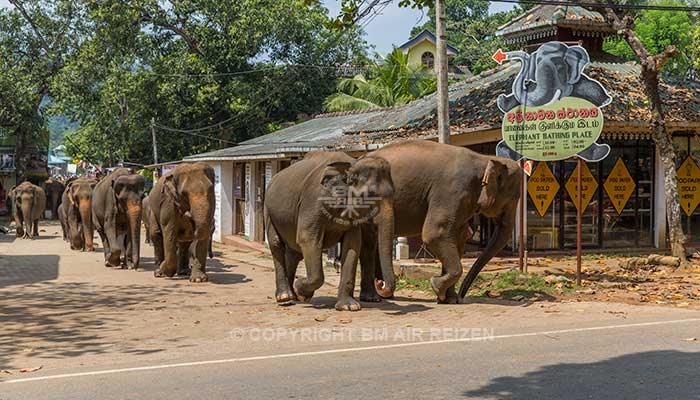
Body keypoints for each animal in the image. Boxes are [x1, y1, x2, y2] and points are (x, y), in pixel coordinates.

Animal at [264, 152, 396, 310]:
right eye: (370, 194)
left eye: (394, 193)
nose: (380, 283)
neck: (352, 164)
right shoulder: (313, 201)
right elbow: (308, 238)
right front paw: (302, 291)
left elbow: (353, 245)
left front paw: (349, 306)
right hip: (269, 212)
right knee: (277, 244)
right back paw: (285, 296)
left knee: (294, 253)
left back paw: (293, 295)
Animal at [364, 141, 524, 304]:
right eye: (514, 198)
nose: (462, 296)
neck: (485, 158)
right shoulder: (451, 191)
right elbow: (435, 234)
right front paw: (437, 287)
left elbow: (457, 238)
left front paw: (450, 299)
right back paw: (376, 293)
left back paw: (380, 293)